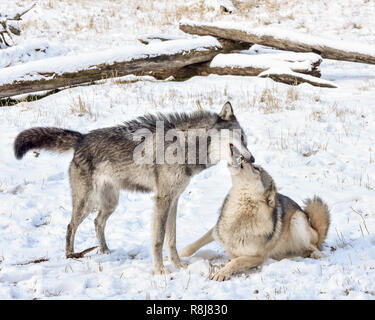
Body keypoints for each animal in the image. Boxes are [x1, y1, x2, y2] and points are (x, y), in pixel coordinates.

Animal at [14, 102, 256, 276]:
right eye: (241, 137)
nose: (252, 158)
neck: (186, 147)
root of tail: (82, 138)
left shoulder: (174, 200)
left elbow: (171, 239)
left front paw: (178, 265)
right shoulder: (162, 200)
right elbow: (158, 240)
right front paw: (160, 271)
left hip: (110, 203)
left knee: (97, 222)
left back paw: (104, 251)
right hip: (86, 203)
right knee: (70, 226)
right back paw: (71, 255)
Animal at [181, 157, 330, 280]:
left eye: (257, 169)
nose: (243, 158)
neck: (240, 210)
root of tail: (316, 232)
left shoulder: (258, 257)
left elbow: (236, 261)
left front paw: (222, 273)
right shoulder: (216, 230)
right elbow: (196, 242)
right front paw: (181, 253)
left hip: (297, 219)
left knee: (315, 246)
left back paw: (316, 255)